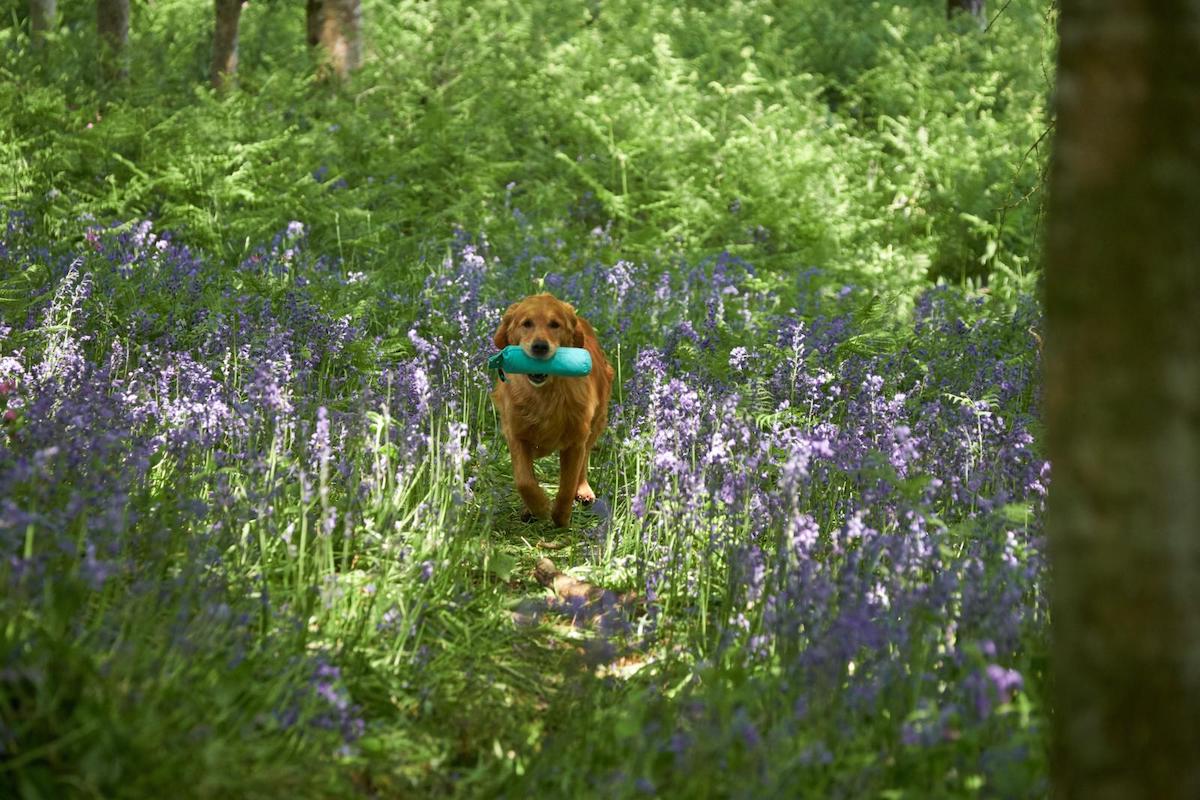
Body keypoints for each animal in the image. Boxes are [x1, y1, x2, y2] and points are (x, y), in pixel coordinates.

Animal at [492, 292, 614, 525]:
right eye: (526, 323)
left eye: (555, 325)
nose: (540, 346)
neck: (545, 395)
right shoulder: (517, 434)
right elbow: (524, 481)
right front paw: (539, 507)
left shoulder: (575, 440)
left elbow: (567, 486)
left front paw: (561, 519)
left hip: (596, 422)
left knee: (584, 459)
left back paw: (583, 490)